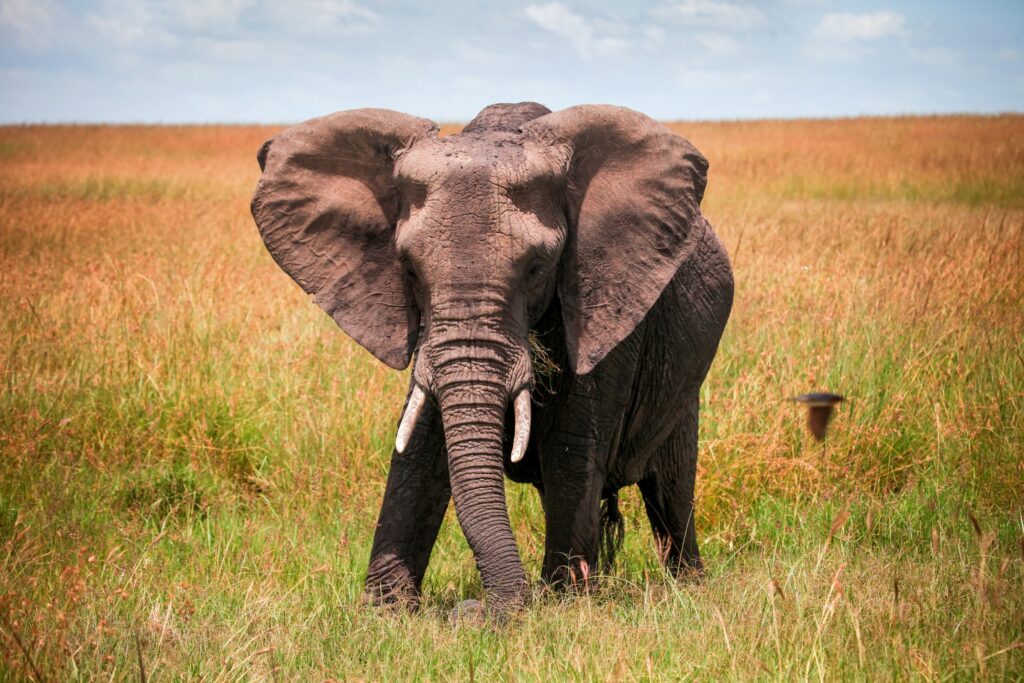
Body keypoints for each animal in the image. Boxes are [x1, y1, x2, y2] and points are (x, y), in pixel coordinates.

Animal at [253, 101, 737, 618]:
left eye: (537, 268)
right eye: (408, 269)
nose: (470, 609)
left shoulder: (604, 299)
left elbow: (571, 447)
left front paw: (561, 602)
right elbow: (420, 447)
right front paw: (385, 610)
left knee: (671, 489)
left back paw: (685, 585)